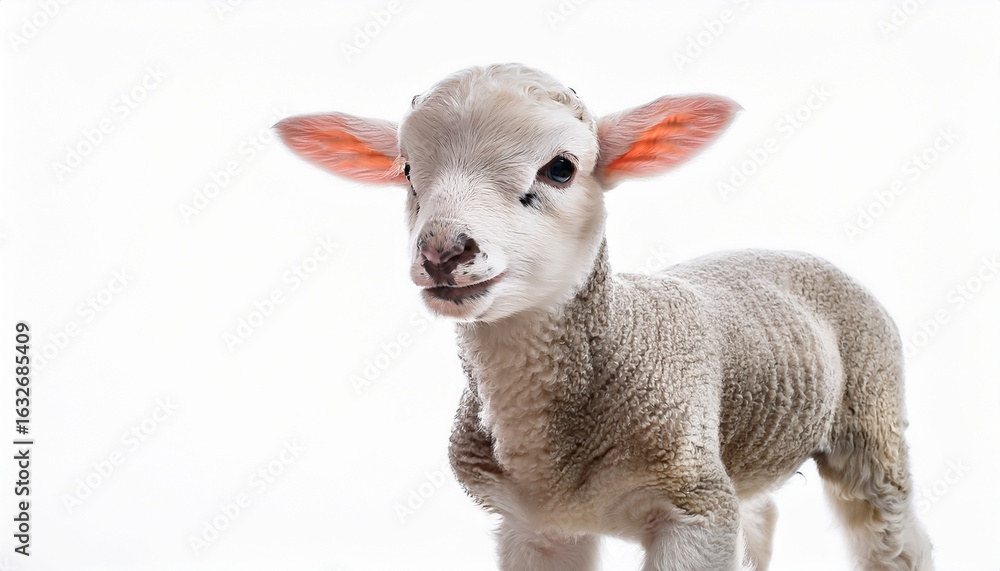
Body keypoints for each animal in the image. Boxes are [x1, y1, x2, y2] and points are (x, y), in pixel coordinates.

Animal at [275, 63, 934, 571]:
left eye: (561, 168)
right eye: (408, 170)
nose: (443, 252)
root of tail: (794, 250)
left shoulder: (693, 512)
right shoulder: (536, 527)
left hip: (871, 418)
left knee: (894, 537)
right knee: (762, 515)